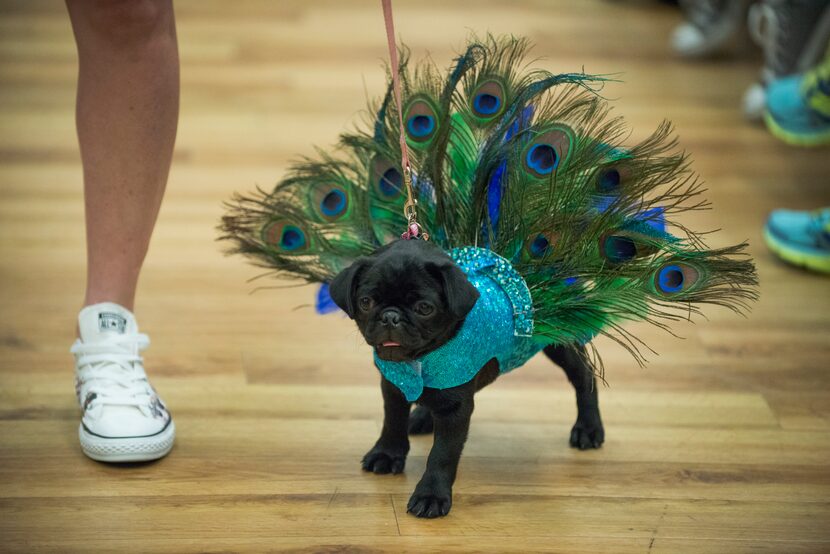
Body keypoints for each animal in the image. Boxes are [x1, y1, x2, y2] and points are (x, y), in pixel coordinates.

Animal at [328, 238, 608, 516]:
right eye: (366, 302)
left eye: (424, 308)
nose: (390, 316)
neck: (422, 358)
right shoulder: (394, 386)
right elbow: (393, 421)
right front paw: (386, 454)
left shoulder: (456, 408)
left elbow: (442, 453)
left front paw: (431, 495)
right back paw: (422, 417)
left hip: (562, 338)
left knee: (584, 377)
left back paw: (588, 428)